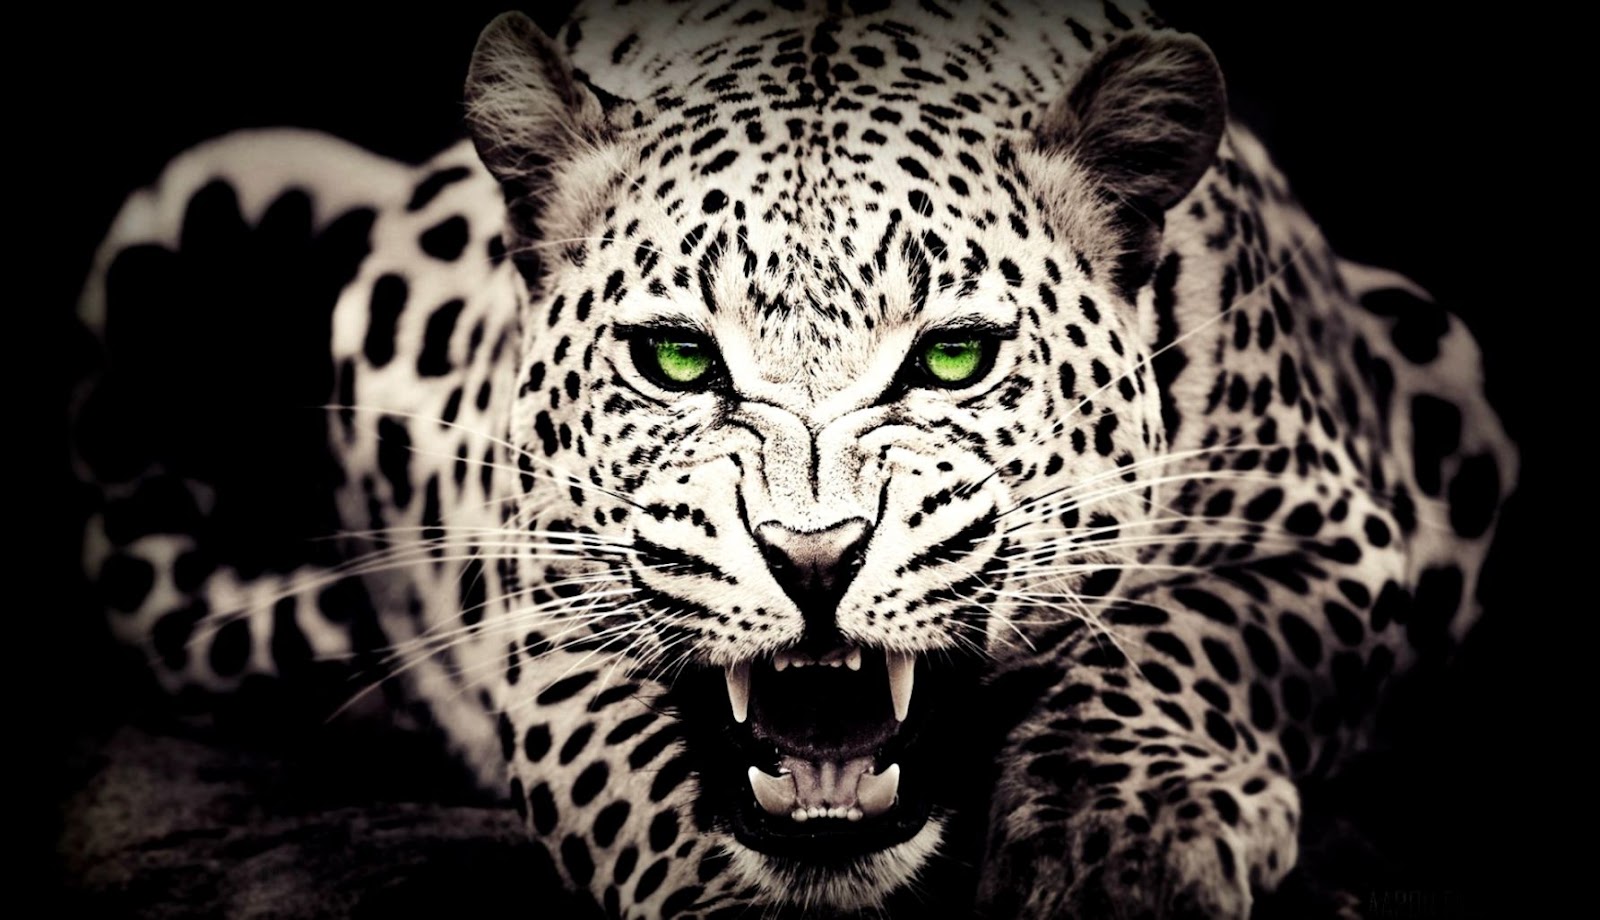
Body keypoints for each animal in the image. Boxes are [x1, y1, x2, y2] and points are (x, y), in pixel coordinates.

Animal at [70, 0, 1518, 916]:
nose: (812, 557)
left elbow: (1191, 632)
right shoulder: (540, 600)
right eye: (675, 359)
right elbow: (618, 763)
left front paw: (1128, 837)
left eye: (952, 358)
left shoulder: (1336, 533)